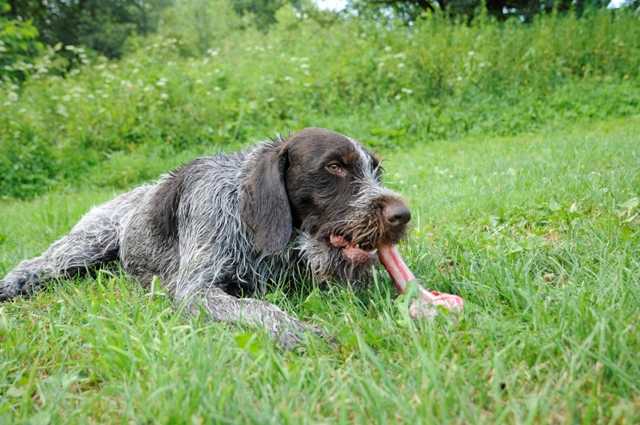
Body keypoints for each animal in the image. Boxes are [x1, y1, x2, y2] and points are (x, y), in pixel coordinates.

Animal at [0, 127, 410, 346]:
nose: (402, 216)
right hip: (83, 246)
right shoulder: (197, 289)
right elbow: (258, 308)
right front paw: (298, 333)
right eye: (334, 166)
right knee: (37, 264)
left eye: (375, 170)